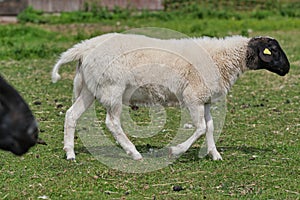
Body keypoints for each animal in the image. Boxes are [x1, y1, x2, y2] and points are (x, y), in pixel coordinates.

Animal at [52, 33, 290, 161]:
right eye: (273, 50)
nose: (287, 69)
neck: (222, 59)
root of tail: (84, 48)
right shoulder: (192, 96)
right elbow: (200, 128)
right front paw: (176, 150)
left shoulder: (204, 99)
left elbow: (210, 126)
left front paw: (214, 154)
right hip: (113, 87)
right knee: (112, 122)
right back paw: (133, 152)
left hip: (90, 88)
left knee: (71, 115)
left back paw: (70, 153)